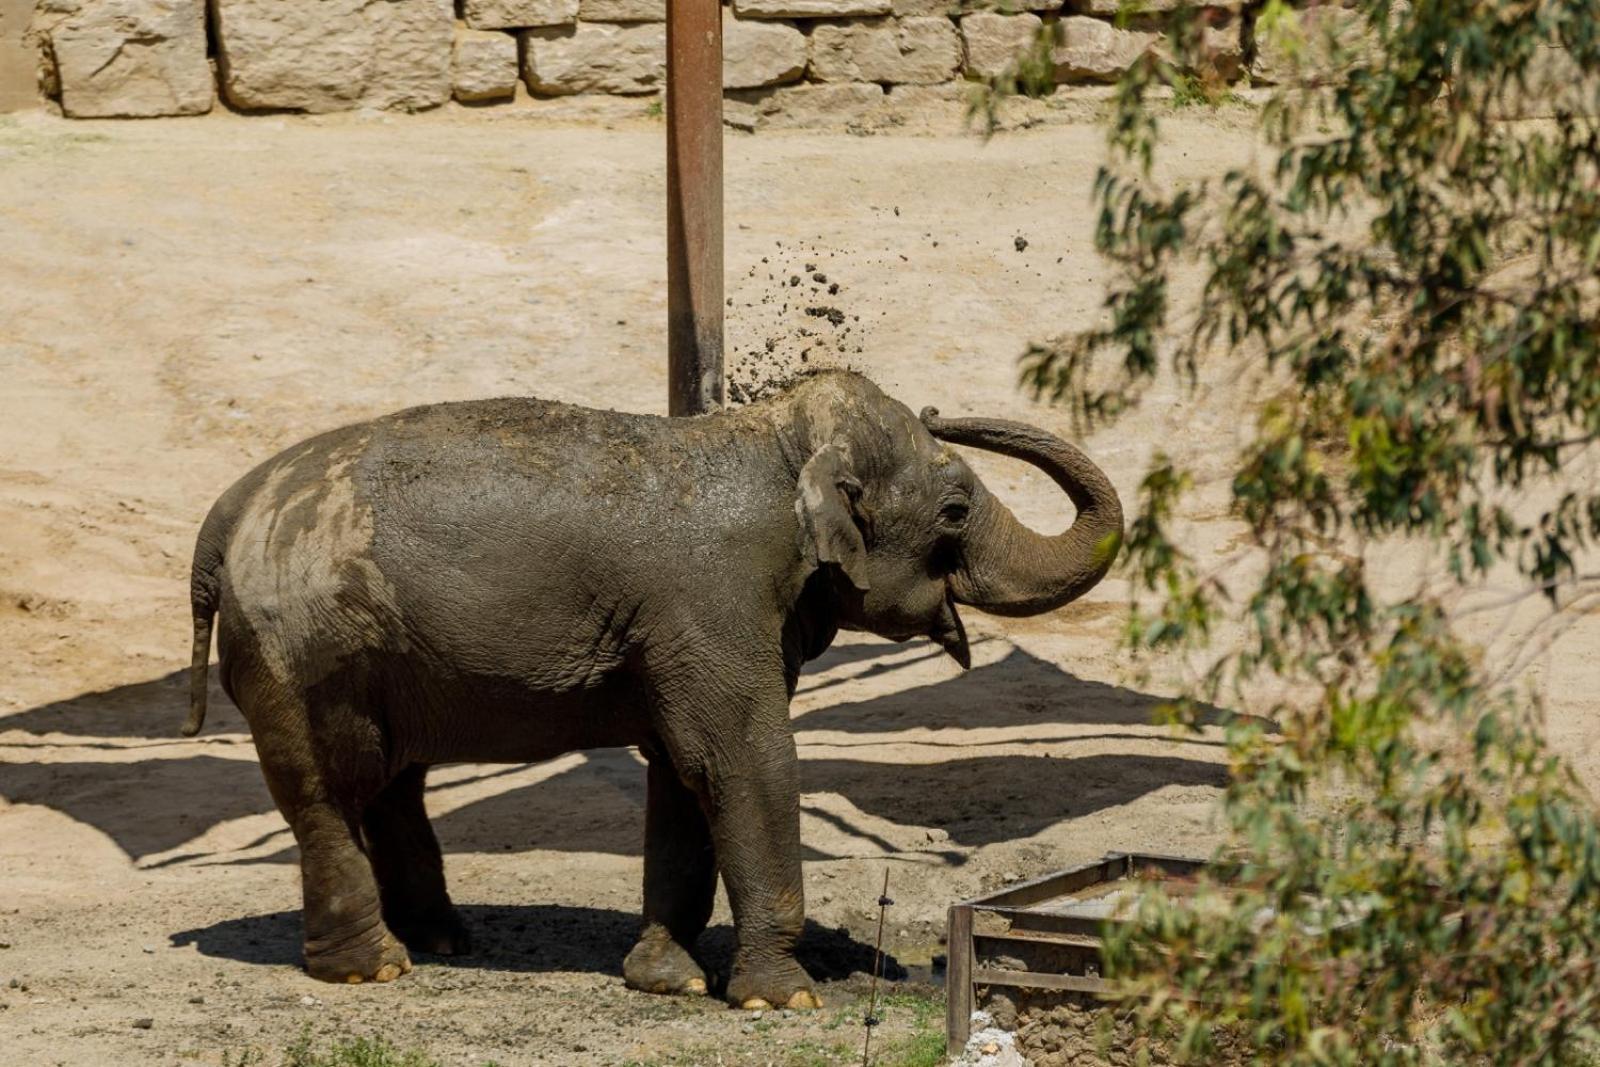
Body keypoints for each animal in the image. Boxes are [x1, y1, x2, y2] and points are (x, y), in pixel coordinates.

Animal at [178, 369, 1126, 1011]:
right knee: (325, 792)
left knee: (390, 783)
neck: (771, 437)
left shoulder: (689, 630)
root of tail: (224, 512)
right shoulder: (714, 600)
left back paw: (441, 938)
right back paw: (373, 965)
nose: (940, 410)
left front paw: (668, 979)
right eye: (956, 510)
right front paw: (783, 996)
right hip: (300, 649)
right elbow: (742, 757)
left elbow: (682, 768)